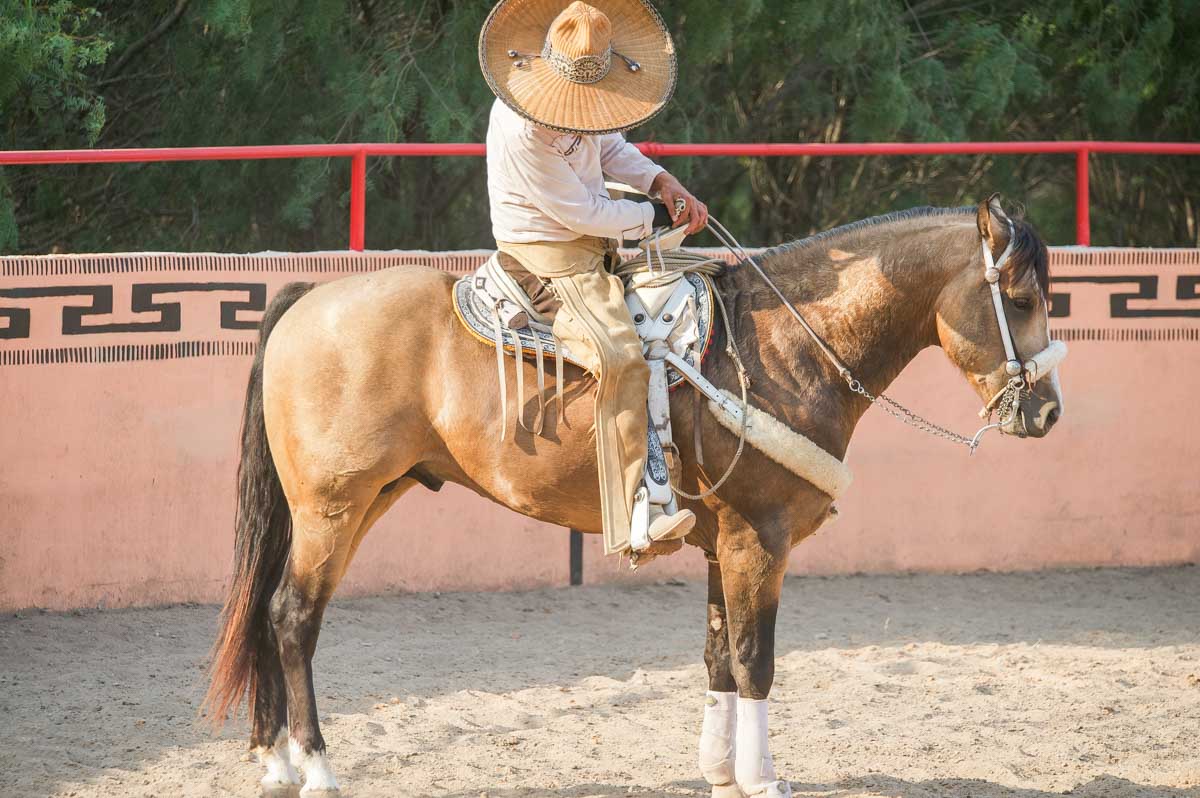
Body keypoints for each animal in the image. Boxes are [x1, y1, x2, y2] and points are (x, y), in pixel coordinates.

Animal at [204, 196, 1063, 796]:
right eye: (1021, 300)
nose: (1048, 412)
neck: (785, 347)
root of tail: (308, 299)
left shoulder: (725, 544)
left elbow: (717, 657)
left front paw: (719, 771)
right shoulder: (760, 539)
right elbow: (755, 662)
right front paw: (761, 777)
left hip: (360, 500)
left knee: (271, 612)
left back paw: (273, 762)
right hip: (333, 509)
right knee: (292, 617)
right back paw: (314, 767)